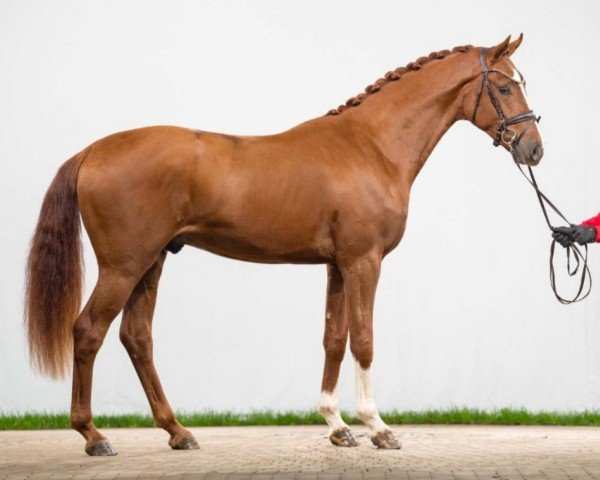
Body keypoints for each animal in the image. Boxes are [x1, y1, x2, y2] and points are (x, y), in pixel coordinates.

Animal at [25, 35, 544, 456]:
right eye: (504, 88)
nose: (534, 149)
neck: (370, 147)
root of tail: (92, 151)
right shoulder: (364, 262)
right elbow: (364, 340)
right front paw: (378, 428)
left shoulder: (337, 265)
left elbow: (334, 339)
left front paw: (338, 427)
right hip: (123, 266)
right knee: (88, 331)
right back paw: (94, 436)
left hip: (150, 264)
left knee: (137, 338)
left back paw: (178, 432)